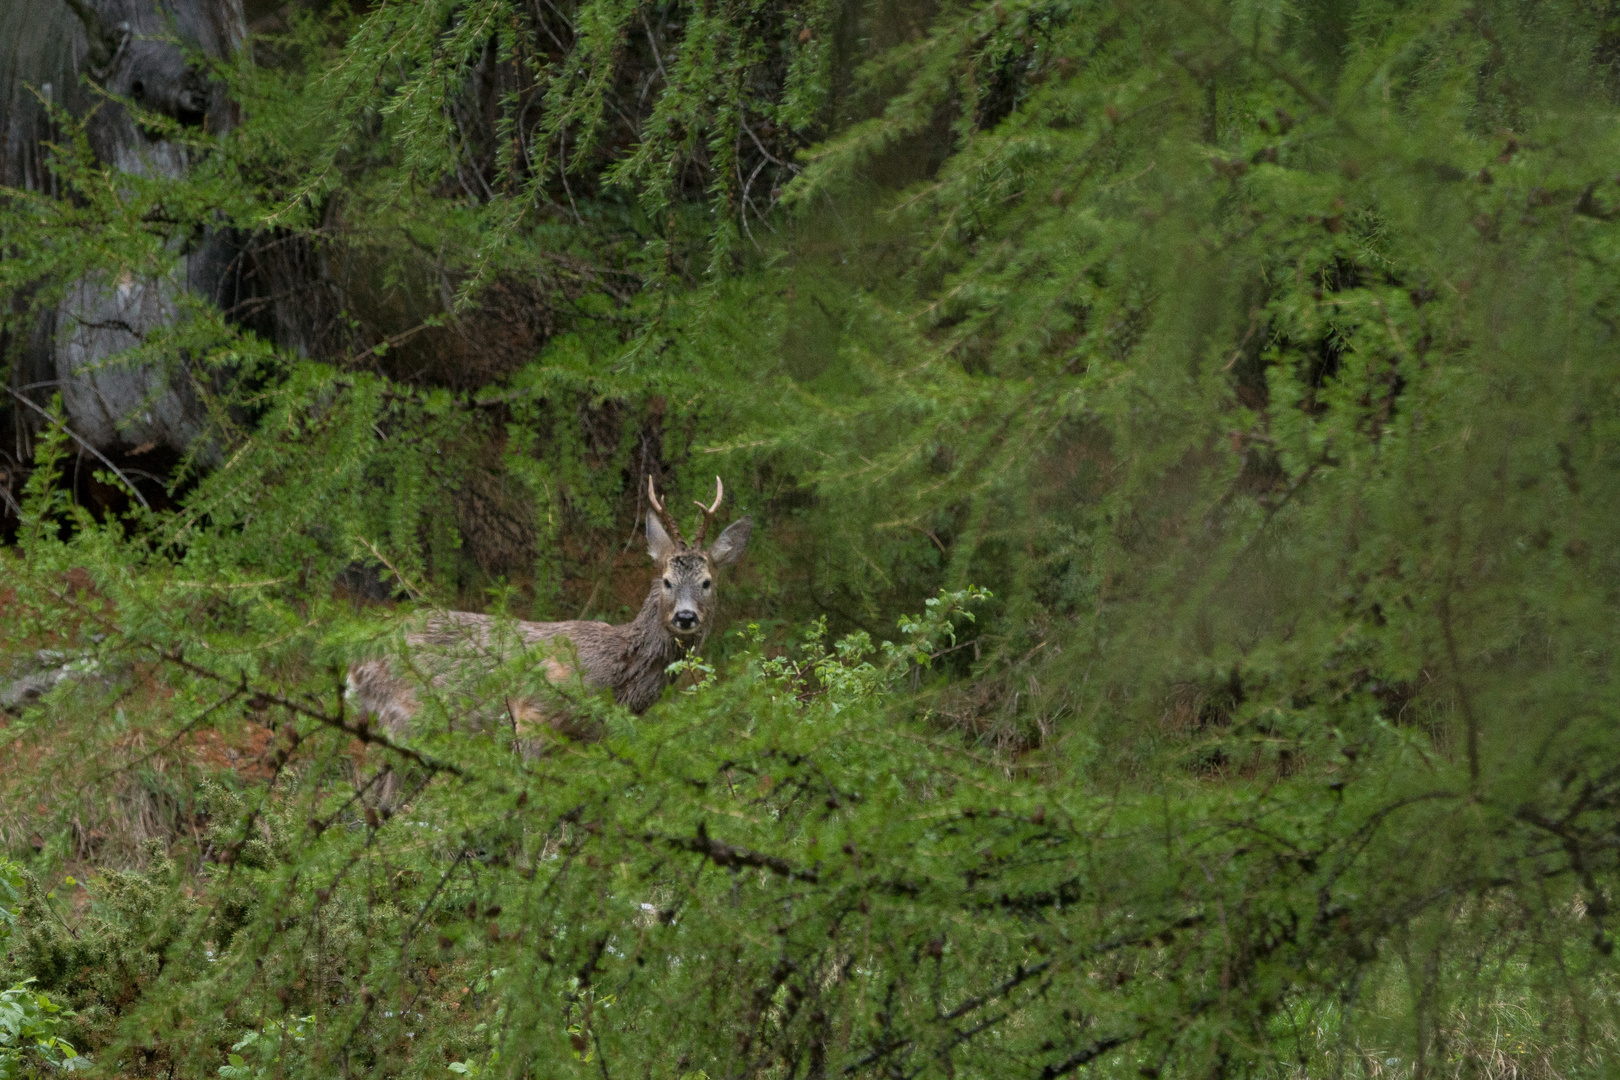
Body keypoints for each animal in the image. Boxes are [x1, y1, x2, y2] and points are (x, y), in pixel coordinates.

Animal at [348, 476, 751, 757]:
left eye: (707, 582)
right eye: (667, 581)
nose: (685, 617)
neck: (616, 673)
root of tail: (354, 661)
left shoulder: (594, 737)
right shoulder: (533, 715)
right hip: (404, 717)